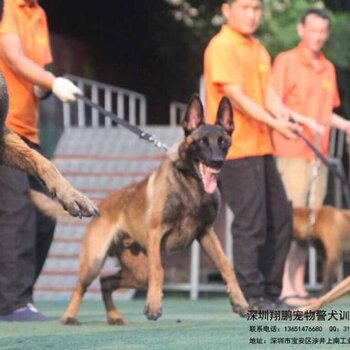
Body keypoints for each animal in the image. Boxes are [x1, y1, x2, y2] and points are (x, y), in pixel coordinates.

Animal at [60, 94, 249, 324]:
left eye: (223, 142)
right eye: (202, 141)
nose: (217, 162)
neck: (190, 186)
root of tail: (102, 205)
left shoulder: (206, 233)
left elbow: (225, 265)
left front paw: (239, 301)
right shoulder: (156, 232)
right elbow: (158, 269)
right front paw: (153, 306)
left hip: (137, 272)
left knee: (107, 282)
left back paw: (114, 316)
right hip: (94, 262)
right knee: (81, 286)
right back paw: (69, 315)